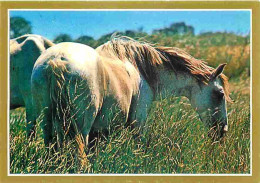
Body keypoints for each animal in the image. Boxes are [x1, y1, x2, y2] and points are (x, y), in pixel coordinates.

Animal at [31, 36, 232, 157]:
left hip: (48, 126)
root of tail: (57, 60)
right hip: (81, 129)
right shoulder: (137, 122)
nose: (222, 130)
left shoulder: (100, 132)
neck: (141, 69)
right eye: (219, 94)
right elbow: (139, 146)